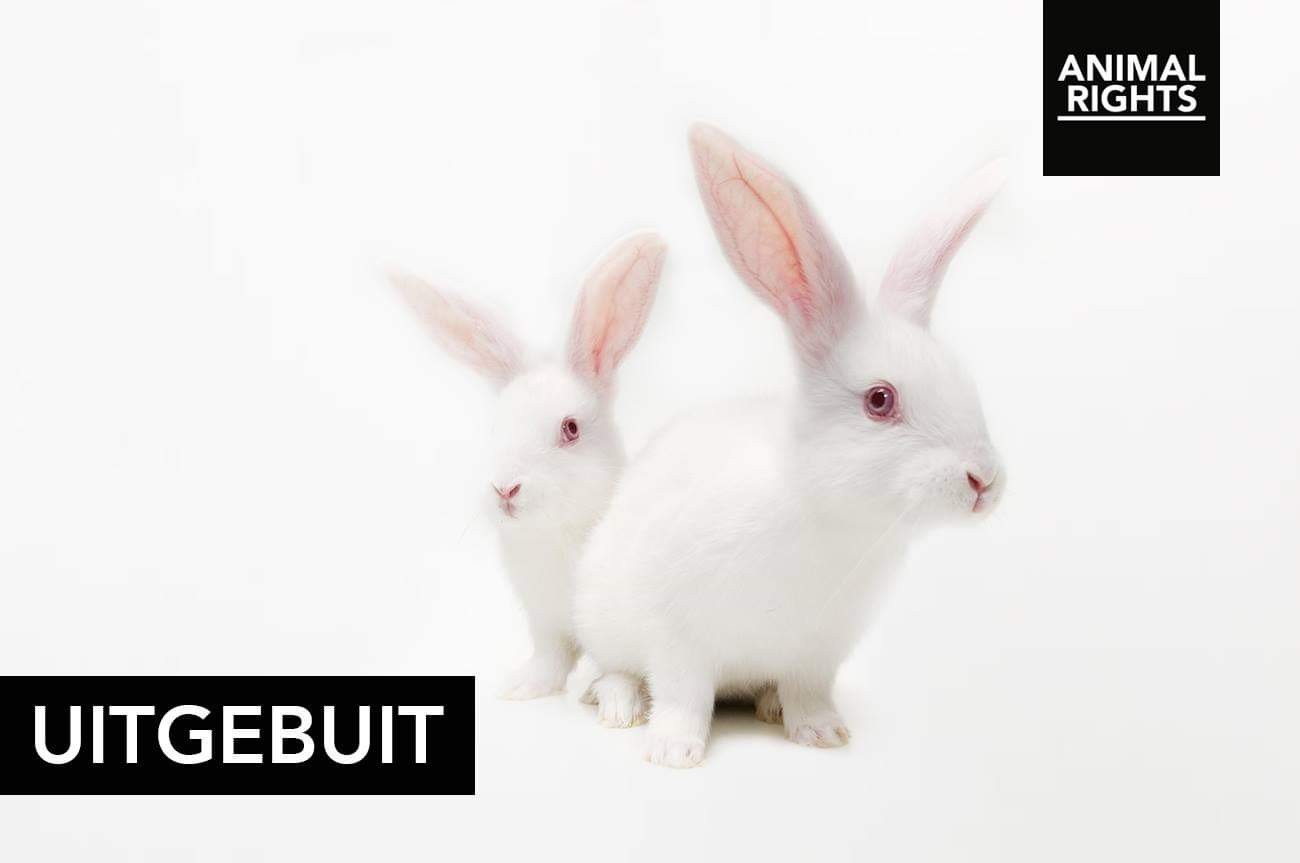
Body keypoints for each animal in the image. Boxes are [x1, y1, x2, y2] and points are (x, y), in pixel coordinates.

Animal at [390, 231, 666, 700]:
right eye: (496, 424)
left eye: (571, 428)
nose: (505, 489)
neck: (555, 534)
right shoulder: (545, 623)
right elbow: (550, 660)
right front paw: (522, 688)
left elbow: (622, 667)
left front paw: (613, 699)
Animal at [572, 125, 1007, 767]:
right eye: (880, 400)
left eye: (965, 381)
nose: (985, 481)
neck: (826, 513)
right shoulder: (680, 636)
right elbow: (681, 695)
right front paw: (673, 751)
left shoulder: (817, 652)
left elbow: (808, 692)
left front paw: (822, 733)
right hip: (602, 615)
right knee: (613, 668)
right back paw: (620, 706)